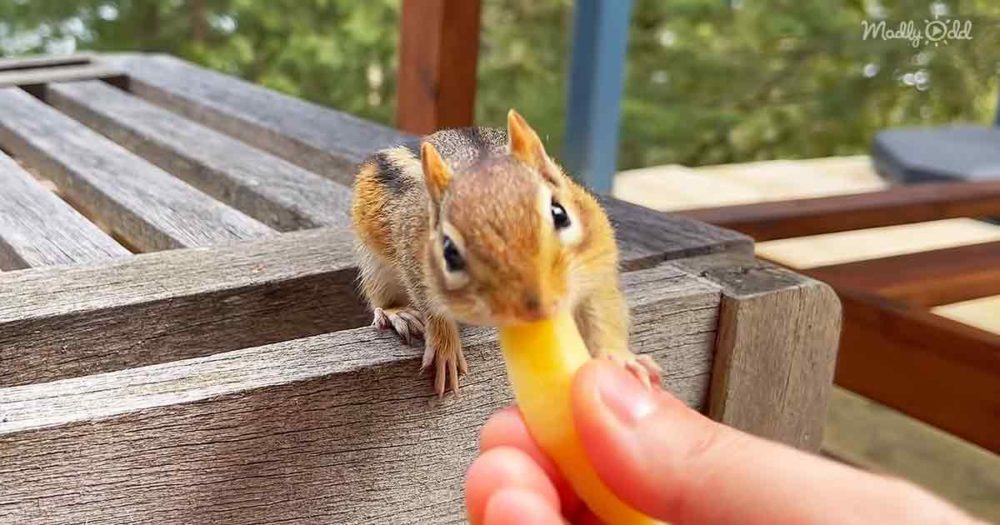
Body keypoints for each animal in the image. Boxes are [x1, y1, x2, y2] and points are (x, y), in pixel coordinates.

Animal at [351, 110, 660, 396]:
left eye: (559, 214)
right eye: (449, 251)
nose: (536, 307)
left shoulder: (597, 261)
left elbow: (602, 310)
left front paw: (620, 358)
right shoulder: (416, 260)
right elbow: (433, 307)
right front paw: (445, 346)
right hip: (375, 265)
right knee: (381, 295)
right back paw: (397, 313)